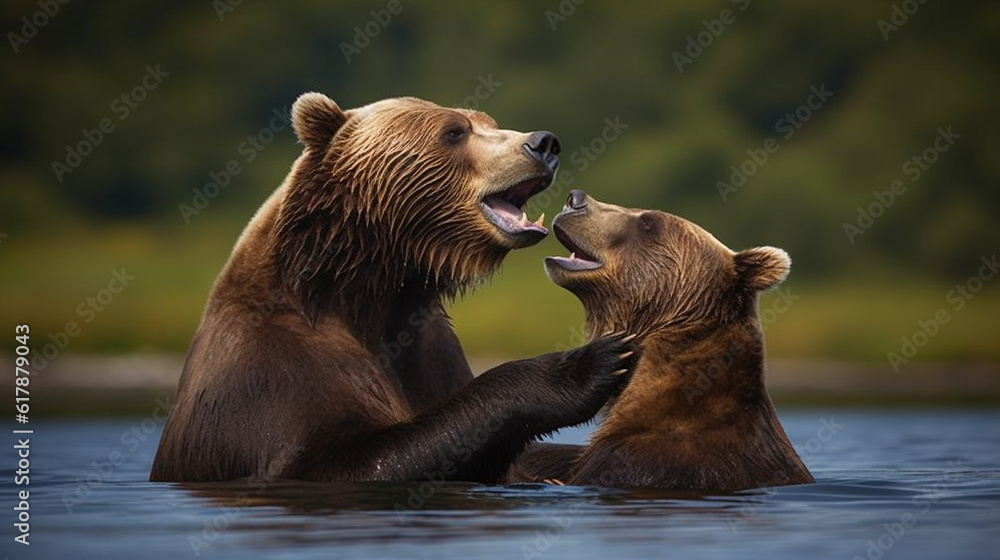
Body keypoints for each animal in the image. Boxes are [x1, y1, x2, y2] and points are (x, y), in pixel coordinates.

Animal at [150, 95, 638, 483]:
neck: (361, 291)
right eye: (454, 131)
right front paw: (593, 361)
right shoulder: (275, 376)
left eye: (487, 120)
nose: (543, 143)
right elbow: (347, 460)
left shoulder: (428, 348)